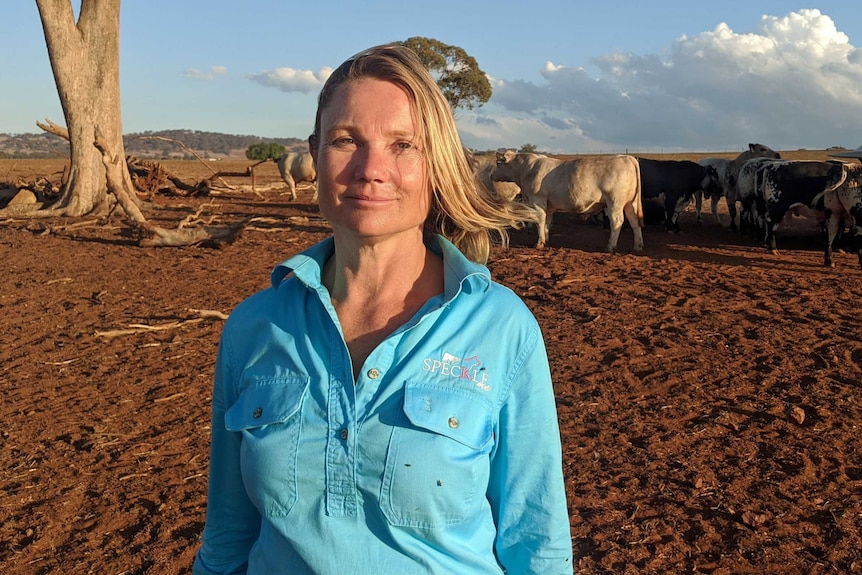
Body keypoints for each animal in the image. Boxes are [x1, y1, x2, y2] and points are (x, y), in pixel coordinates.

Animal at [490, 150, 644, 253]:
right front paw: (546, 238)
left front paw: (539, 243)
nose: (491, 175)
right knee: (634, 222)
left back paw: (610, 246)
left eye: (498, 163)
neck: (526, 169)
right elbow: (547, 222)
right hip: (630, 203)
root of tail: (627, 157)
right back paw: (638, 246)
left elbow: (540, 220)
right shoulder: (549, 205)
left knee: (617, 221)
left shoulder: (537, 200)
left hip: (614, 202)